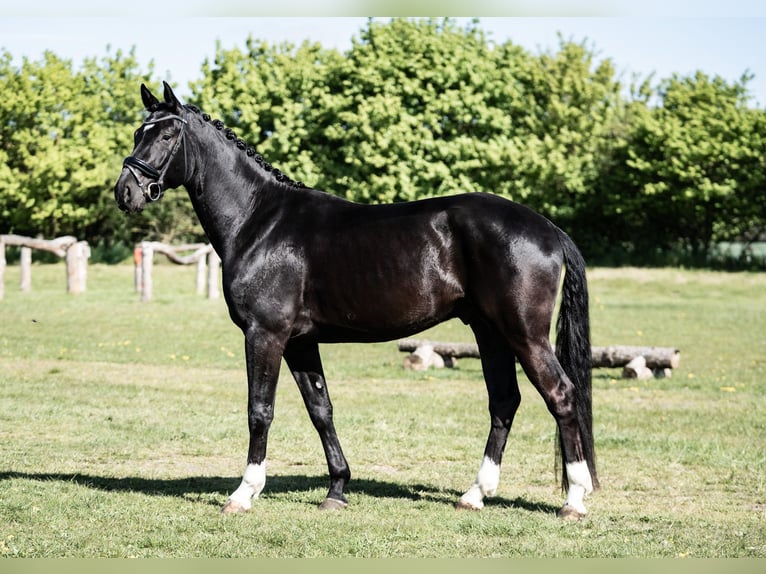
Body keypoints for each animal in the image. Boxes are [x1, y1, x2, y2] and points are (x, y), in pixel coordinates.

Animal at [114, 82, 598, 519]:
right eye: (139, 132)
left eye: (167, 135)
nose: (126, 192)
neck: (259, 220)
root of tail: (548, 228)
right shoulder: (300, 342)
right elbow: (321, 410)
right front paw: (337, 489)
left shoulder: (265, 335)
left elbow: (260, 411)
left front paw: (243, 494)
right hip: (490, 332)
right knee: (504, 401)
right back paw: (475, 494)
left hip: (524, 334)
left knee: (561, 395)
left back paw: (574, 500)